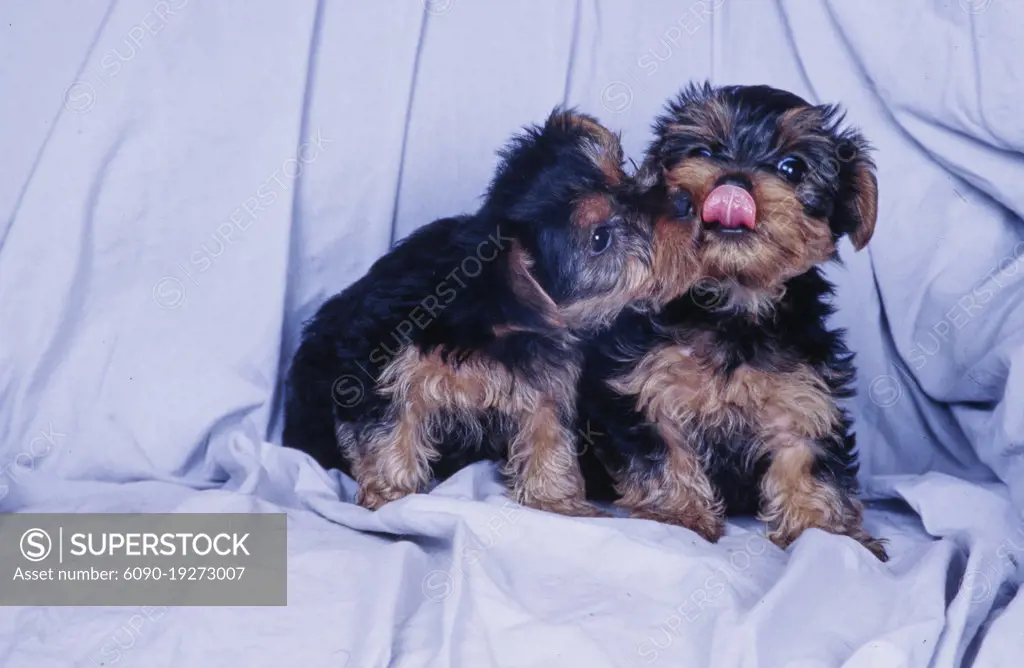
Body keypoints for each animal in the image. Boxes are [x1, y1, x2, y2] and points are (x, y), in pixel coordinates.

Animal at [282, 108, 688, 516]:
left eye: (620, 174)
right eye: (601, 238)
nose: (681, 203)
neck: (489, 313)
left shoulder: (542, 374)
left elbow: (548, 429)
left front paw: (555, 500)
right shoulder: (384, 365)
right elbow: (390, 428)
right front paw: (391, 495)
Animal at [577, 86, 888, 561]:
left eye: (792, 168)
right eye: (703, 152)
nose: (734, 182)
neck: (733, 304)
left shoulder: (803, 396)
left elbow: (808, 463)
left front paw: (828, 534)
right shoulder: (648, 384)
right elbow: (663, 451)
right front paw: (678, 515)